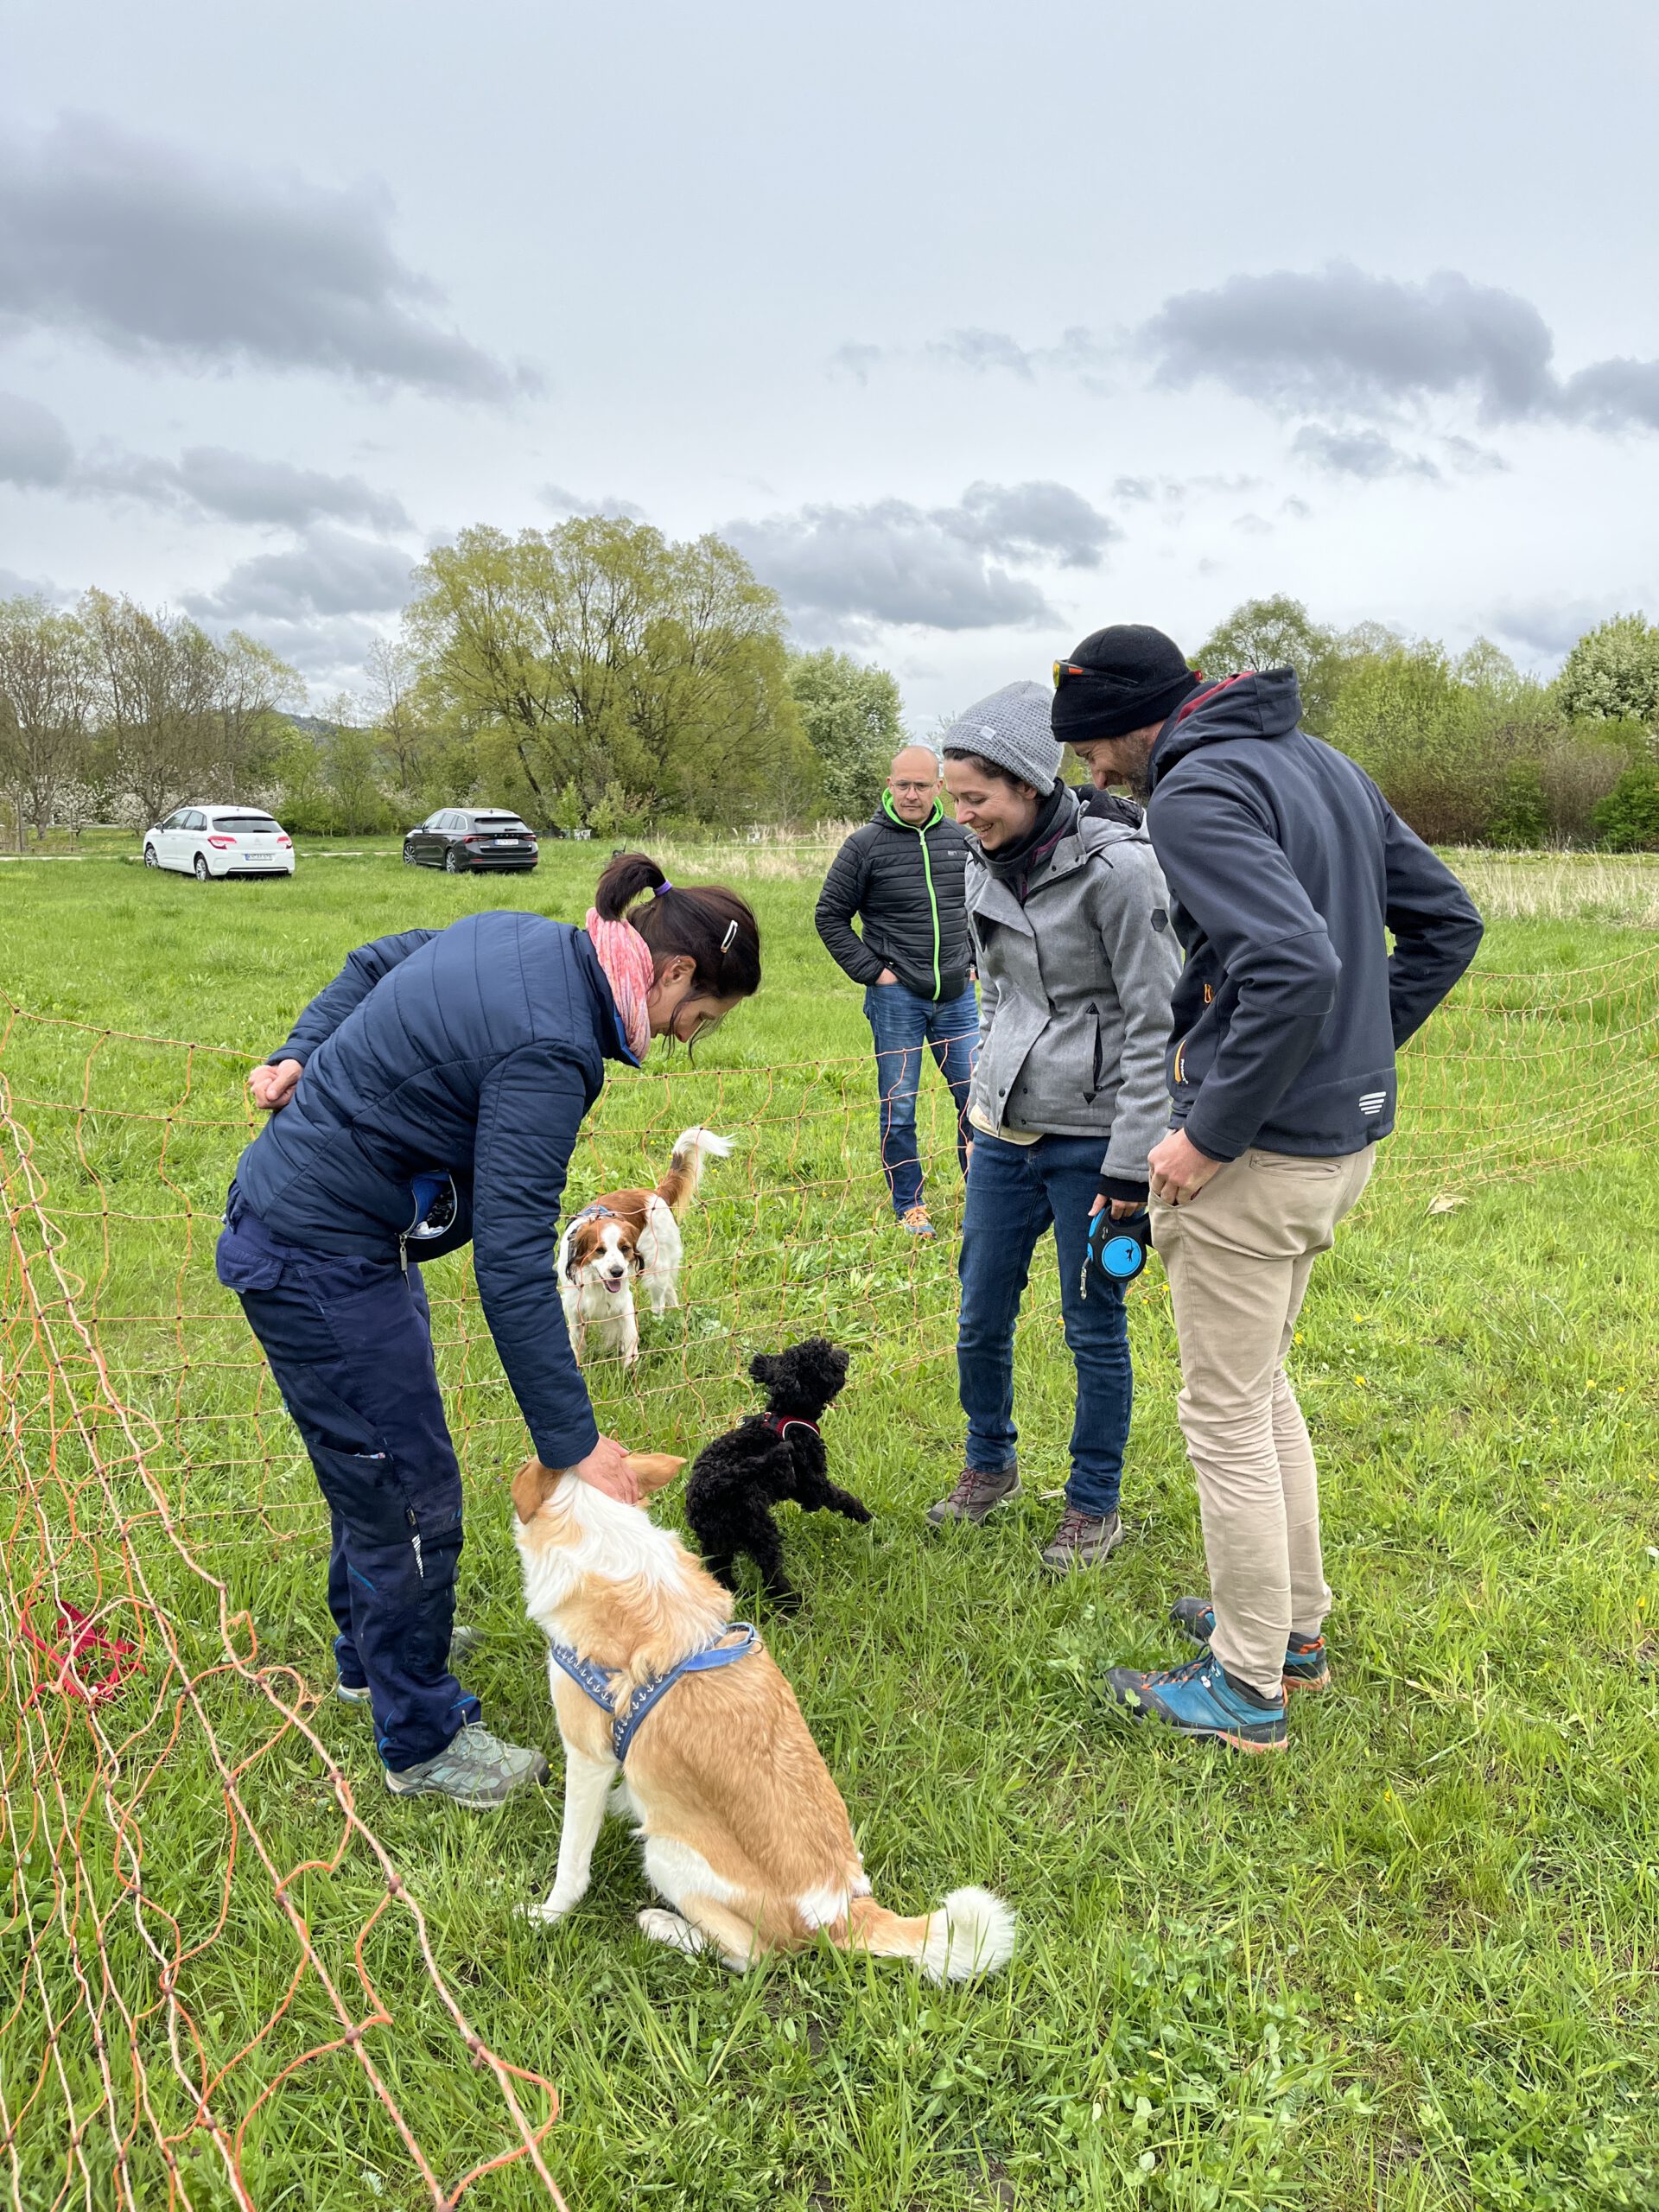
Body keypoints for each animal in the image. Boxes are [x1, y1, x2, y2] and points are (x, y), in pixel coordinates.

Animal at [511, 1450, 1014, 1978]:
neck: (607, 1543)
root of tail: (841, 1914)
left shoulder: (587, 1755)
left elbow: (572, 1861)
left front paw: (546, 1916)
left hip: (667, 1852)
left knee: (750, 1955)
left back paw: (661, 1924)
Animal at [556, 1125, 732, 1367]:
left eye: (625, 1248)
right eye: (599, 1250)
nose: (617, 1272)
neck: (596, 1283)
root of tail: (654, 1193)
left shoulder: (624, 1301)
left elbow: (630, 1337)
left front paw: (629, 1369)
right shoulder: (573, 1307)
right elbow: (576, 1343)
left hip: (656, 1267)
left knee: (660, 1301)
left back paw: (661, 1325)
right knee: (670, 1291)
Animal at [684, 1339, 867, 1612]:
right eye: (825, 1358)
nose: (844, 1354)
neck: (790, 1414)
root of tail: (713, 1487)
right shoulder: (810, 1482)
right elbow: (837, 1497)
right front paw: (864, 1515)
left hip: (716, 1538)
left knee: (719, 1569)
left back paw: (732, 1593)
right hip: (758, 1529)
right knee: (771, 1573)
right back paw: (792, 1602)